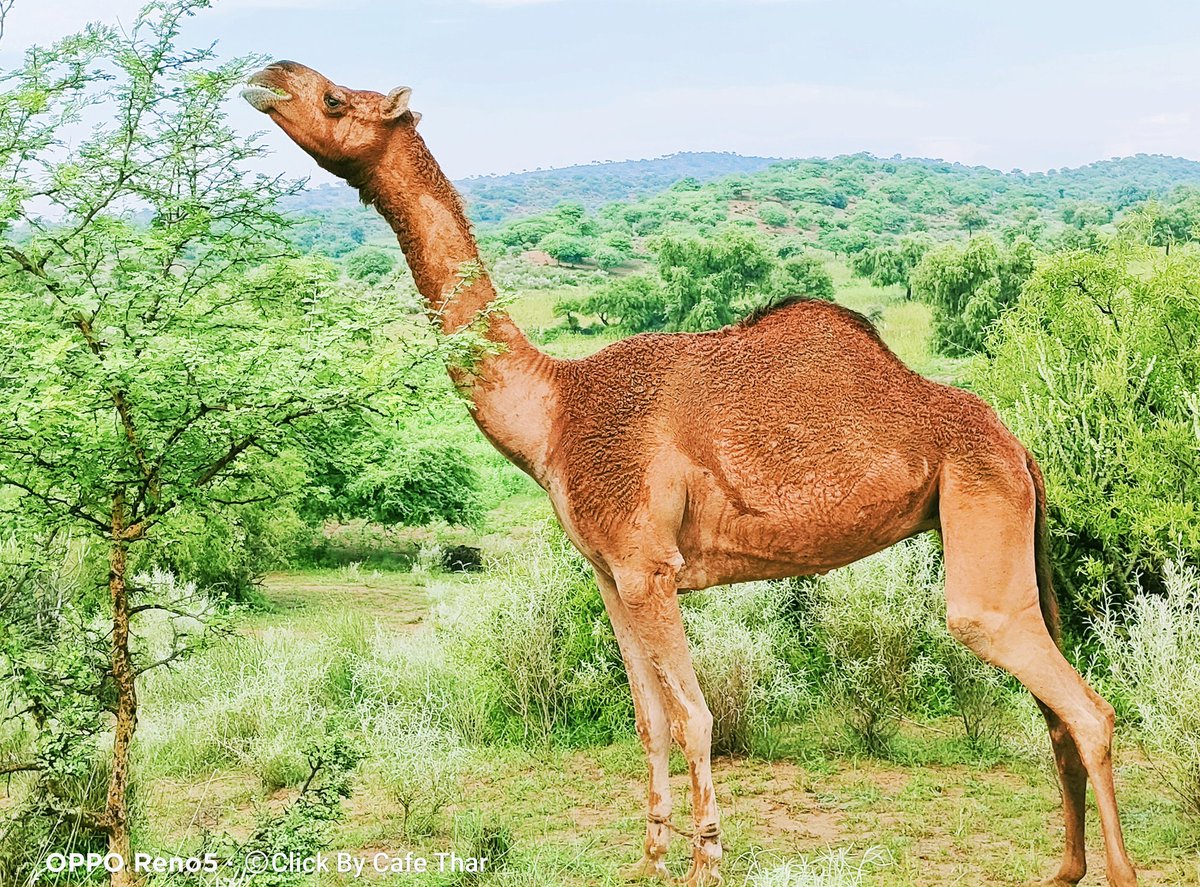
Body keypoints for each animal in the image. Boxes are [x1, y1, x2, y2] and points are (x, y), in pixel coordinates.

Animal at [243, 62, 1137, 887]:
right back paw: (1064, 868)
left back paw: (1115, 869)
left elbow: (697, 717)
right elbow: (648, 720)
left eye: (334, 99)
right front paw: (650, 857)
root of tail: (1020, 446)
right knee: (1057, 715)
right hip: (1000, 521)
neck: (554, 414)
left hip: (981, 518)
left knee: (1080, 704)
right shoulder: (611, 572)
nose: (265, 76)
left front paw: (707, 859)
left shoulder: (650, 565)